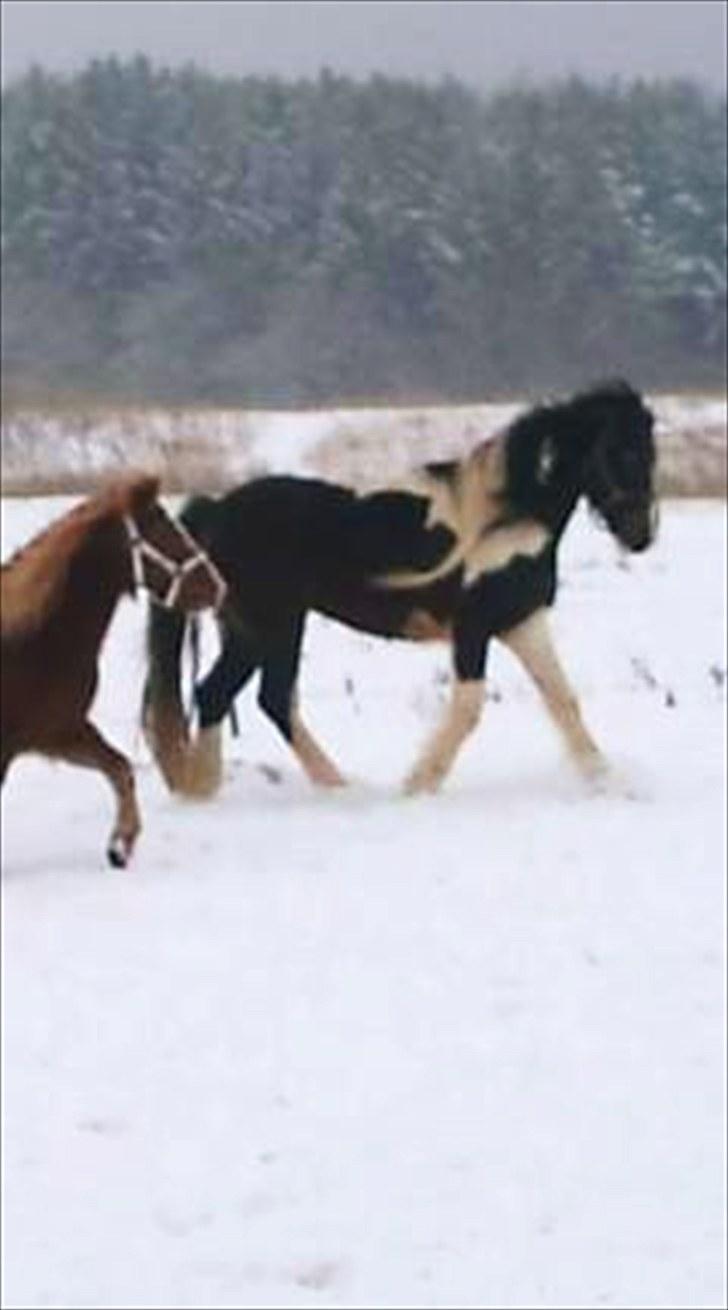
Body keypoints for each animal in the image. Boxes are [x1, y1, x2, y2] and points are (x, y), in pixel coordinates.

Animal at [1, 474, 225, 869]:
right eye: (162, 529)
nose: (217, 586)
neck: (31, 640)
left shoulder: (57, 730)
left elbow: (119, 768)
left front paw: (121, 845)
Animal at [143, 374, 659, 791]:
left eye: (649, 451)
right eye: (617, 450)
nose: (641, 535)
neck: (507, 516)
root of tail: (217, 511)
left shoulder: (522, 622)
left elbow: (563, 699)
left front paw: (605, 780)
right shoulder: (472, 629)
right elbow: (469, 708)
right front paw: (418, 784)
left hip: (262, 627)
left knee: (244, 697)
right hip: (267, 626)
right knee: (236, 695)